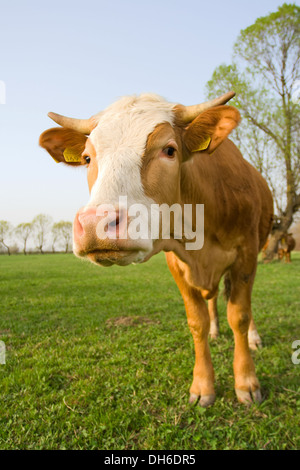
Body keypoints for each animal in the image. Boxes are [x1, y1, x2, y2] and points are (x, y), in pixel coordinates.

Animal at [38, 92, 274, 408]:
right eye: (87, 158)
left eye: (169, 150)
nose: (94, 223)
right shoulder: (177, 263)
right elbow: (196, 322)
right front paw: (203, 385)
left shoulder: (246, 255)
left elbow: (240, 316)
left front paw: (247, 382)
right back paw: (215, 330)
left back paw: (253, 337)